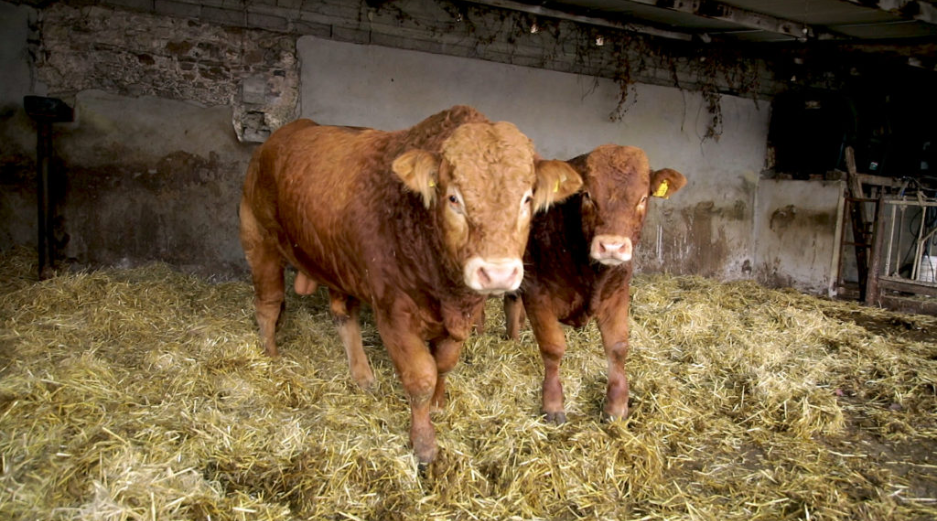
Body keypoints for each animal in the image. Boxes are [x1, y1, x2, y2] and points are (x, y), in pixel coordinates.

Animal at [238, 106, 582, 465]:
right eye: (453, 198)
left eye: (527, 199)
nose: (497, 272)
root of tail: (285, 132)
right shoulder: (394, 312)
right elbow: (420, 377)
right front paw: (424, 443)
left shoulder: (460, 316)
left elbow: (443, 363)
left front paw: (439, 404)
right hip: (258, 239)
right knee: (268, 304)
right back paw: (271, 357)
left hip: (338, 262)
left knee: (342, 315)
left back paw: (362, 376)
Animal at [503, 144, 686, 424]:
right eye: (587, 195)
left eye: (642, 199)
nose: (611, 246)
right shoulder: (537, 293)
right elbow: (553, 347)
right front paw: (553, 404)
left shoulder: (618, 293)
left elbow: (617, 347)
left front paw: (617, 405)